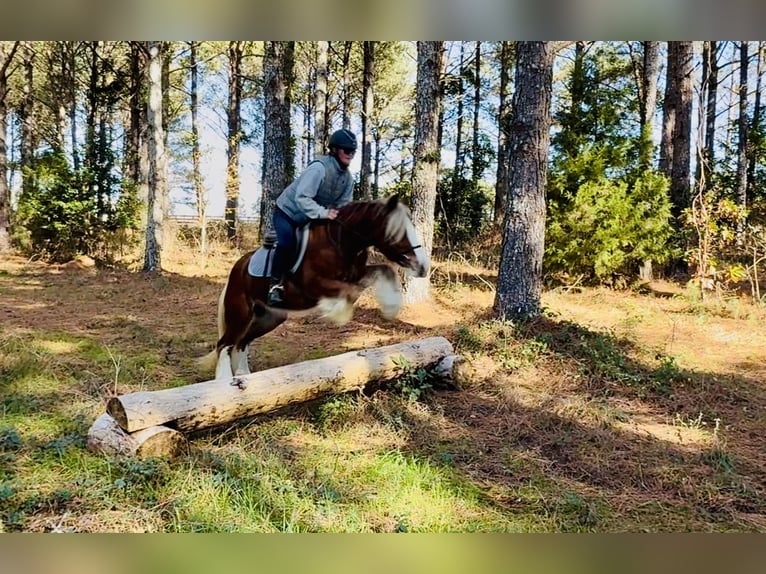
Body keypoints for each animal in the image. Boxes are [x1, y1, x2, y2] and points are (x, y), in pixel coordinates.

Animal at [198, 195, 430, 380]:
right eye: (398, 231)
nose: (423, 266)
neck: (340, 241)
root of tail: (238, 268)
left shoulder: (358, 274)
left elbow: (383, 271)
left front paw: (390, 308)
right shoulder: (314, 285)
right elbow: (347, 292)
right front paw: (335, 313)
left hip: (269, 318)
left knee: (242, 342)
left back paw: (243, 376)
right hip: (241, 314)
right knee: (225, 344)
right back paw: (224, 384)